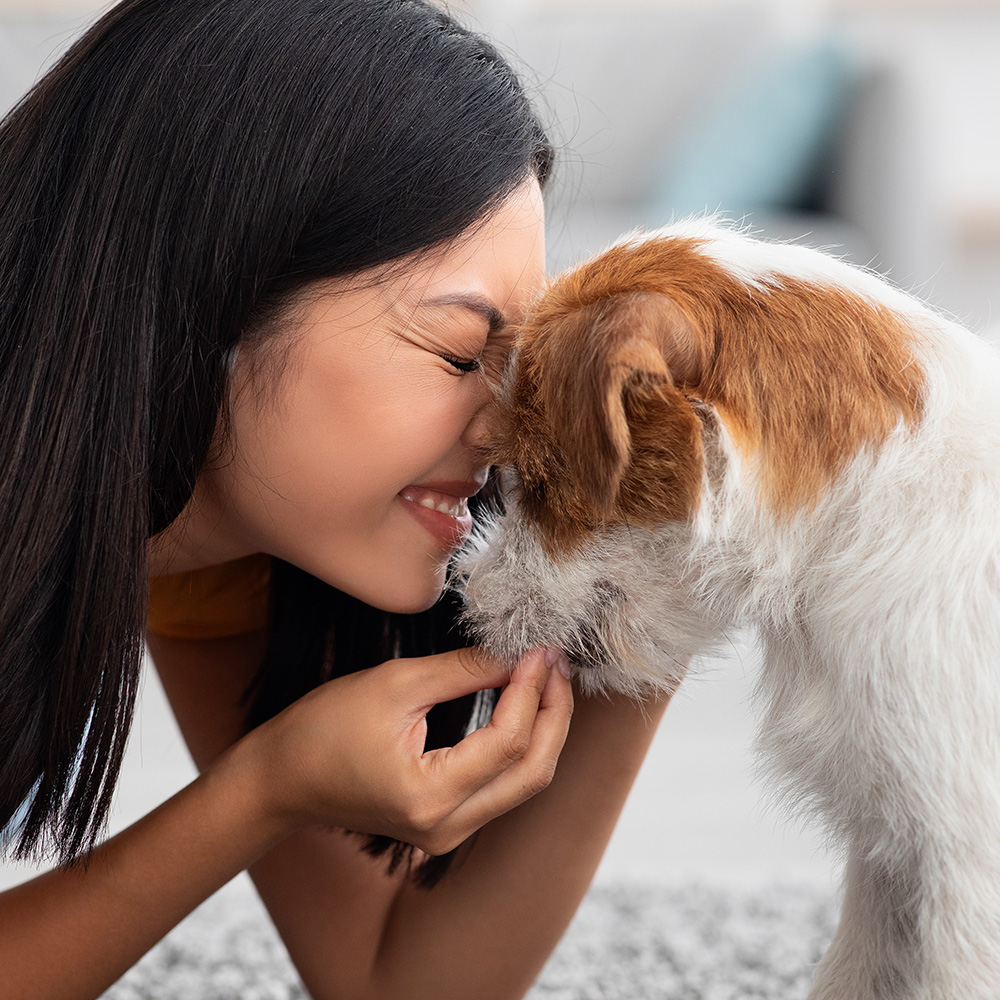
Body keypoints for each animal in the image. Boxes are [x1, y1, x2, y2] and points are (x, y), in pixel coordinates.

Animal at [454, 221, 1000, 1000]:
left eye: (533, 479)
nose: (463, 596)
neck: (869, 506)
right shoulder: (890, 858)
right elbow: (851, 975)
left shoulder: (965, 872)